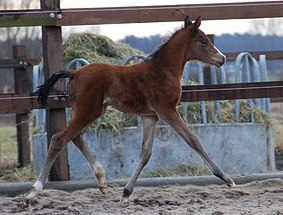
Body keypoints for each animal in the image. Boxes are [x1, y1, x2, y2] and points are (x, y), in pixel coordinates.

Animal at [21, 15, 235, 207]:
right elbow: (193, 140)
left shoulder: (150, 116)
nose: (222, 58)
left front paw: (126, 193)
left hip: (91, 111)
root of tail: (74, 72)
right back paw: (32, 193)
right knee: (59, 139)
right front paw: (226, 178)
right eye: (203, 41)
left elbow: (145, 153)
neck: (163, 70)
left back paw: (102, 179)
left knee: (76, 137)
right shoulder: (167, 110)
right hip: (87, 111)